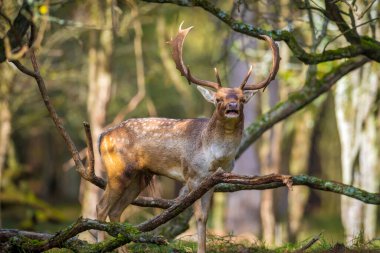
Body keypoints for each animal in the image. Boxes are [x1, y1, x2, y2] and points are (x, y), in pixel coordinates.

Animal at [95, 22, 280, 252]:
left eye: (241, 99)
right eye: (218, 99)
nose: (232, 106)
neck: (215, 156)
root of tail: (103, 135)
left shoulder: (214, 180)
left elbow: (205, 218)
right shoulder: (192, 175)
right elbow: (198, 216)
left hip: (139, 176)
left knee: (115, 211)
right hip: (118, 169)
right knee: (101, 207)